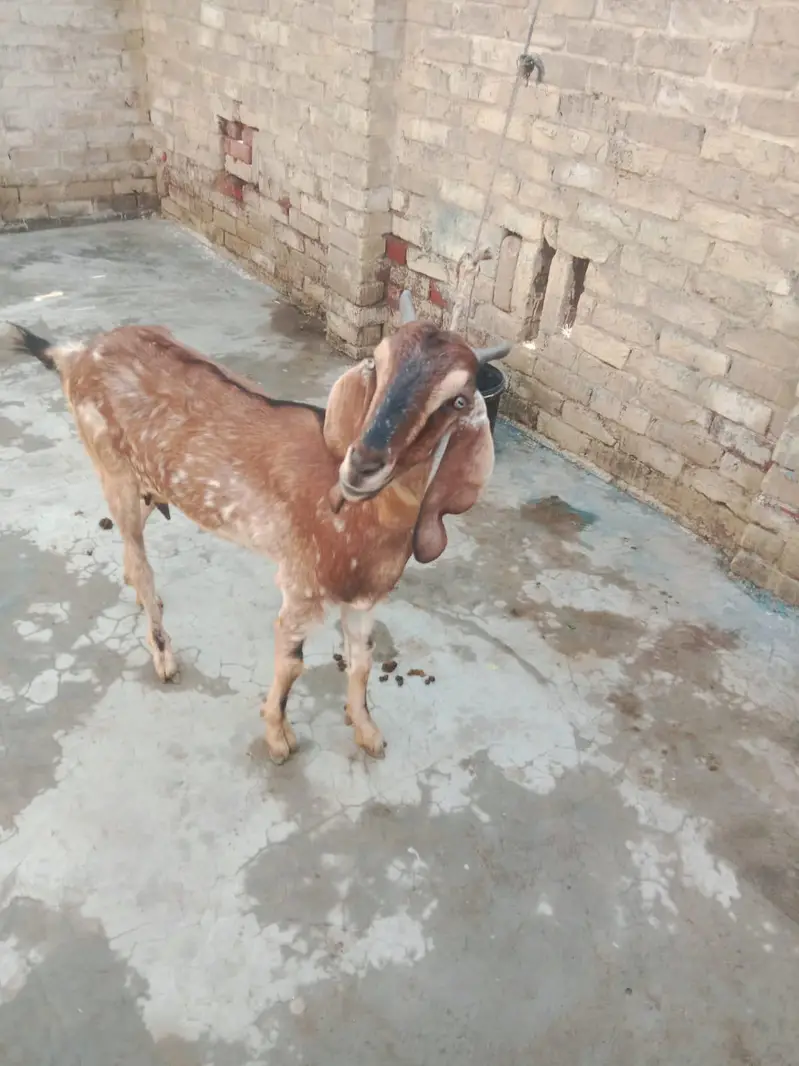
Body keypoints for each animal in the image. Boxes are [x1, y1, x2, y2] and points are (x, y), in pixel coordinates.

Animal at [5, 294, 510, 763]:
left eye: (458, 400)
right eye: (375, 363)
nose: (362, 463)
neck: (363, 522)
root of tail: (77, 354)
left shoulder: (366, 596)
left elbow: (363, 661)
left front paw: (367, 732)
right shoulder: (302, 586)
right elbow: (291, 665)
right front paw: (278, 739)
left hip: (148, 483)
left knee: (135, 547)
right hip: (115, 472)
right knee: (141, 557)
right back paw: (163, 653)